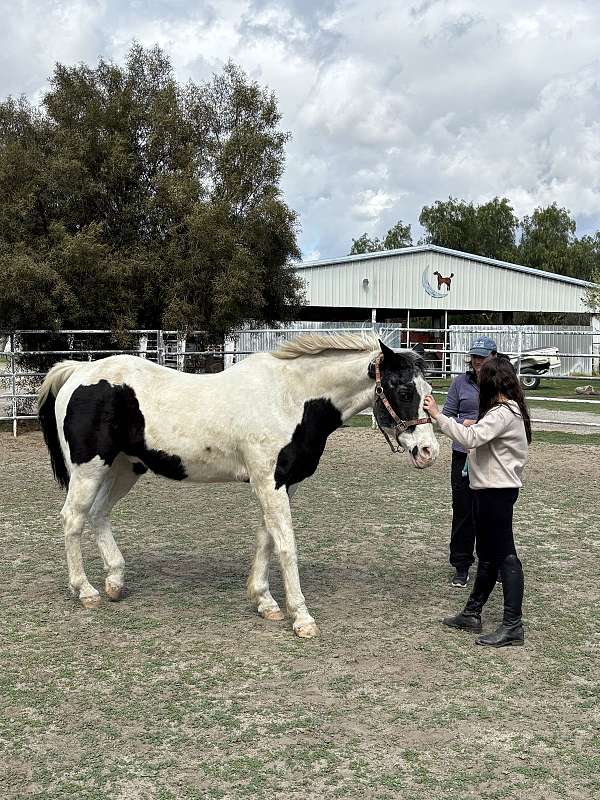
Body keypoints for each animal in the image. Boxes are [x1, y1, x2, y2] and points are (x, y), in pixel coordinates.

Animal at [37, 333, 439, 638]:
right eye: (404, 390)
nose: (428, 451)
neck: (290, 398)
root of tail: (78, 371)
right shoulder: (268, 482)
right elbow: (286, 545)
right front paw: (301, 617)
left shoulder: (283, 484)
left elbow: (266, 538)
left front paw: (265, 602)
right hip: (89, 469)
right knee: (73, 518)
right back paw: (85, 591)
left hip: (123, 469)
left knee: (98, 514)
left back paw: (115, 582)